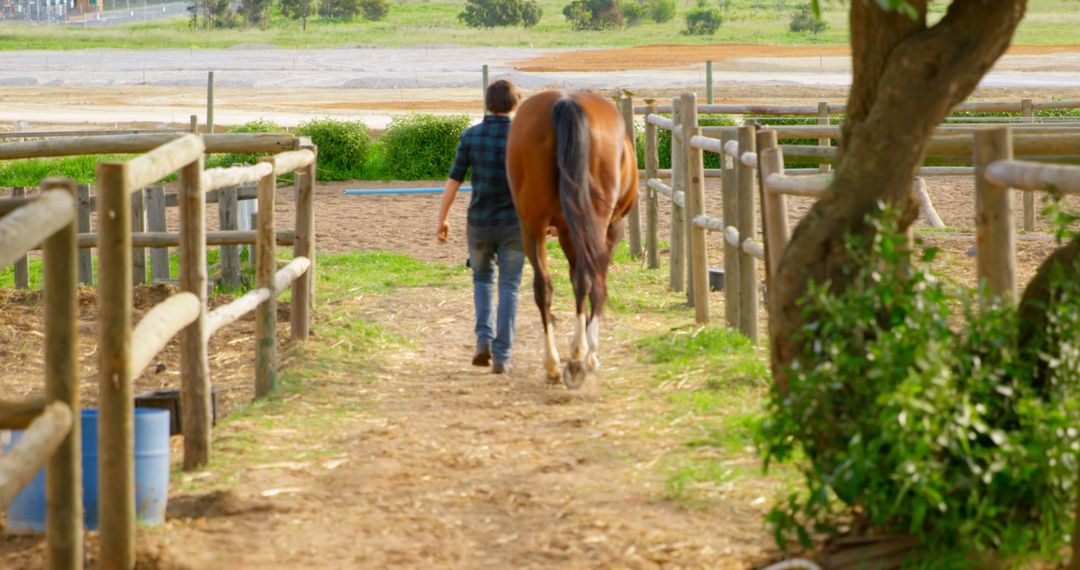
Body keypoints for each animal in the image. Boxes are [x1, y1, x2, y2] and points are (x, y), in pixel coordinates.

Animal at [503, 91, 635, 388]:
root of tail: (565, 101)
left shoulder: (564, 231)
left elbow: (574, 281)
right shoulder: (614, 227)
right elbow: (594, 279)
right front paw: (589, 352)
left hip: (532, 225)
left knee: (544, 286)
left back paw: (553, 364)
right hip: (596, 222)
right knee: (592, 279)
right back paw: (580, 356)